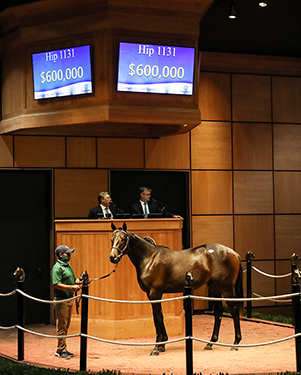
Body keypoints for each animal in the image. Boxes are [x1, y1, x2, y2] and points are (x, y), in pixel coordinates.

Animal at [109, 223, 243, 356]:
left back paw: (235, 343)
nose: (112, 257)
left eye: (123, 239)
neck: (150, 258)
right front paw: (162, 344)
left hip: (226, 288)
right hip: (215, 288)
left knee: (234, 310)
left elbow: (156, 318)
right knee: (218, 312)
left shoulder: (154, 293)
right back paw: (210, 343)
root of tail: (233, 253)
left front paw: (156, 348)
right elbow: (161, 316)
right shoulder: (154, 294)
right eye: (111, 239)